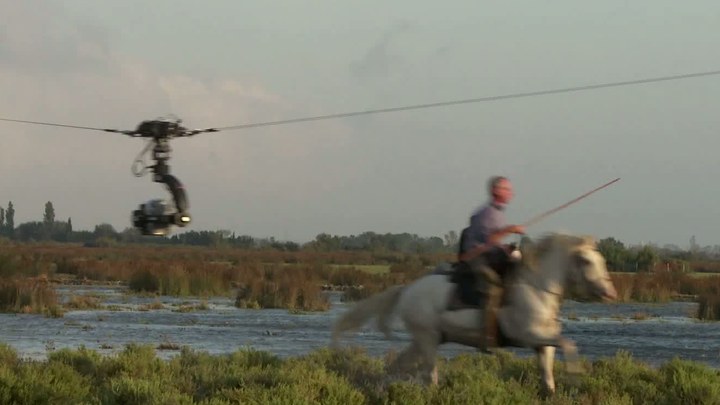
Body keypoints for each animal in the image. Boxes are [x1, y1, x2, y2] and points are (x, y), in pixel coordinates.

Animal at [332, 232, 620, 392]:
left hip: (427, 339)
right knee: (429, 377)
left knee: (396, 367)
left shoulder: (542, 344)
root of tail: (407, 289)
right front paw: (577, 376)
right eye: (585, 261)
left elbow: (549, 377)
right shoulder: (528, 336)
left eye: (602, 260)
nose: (610, 293)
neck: (536, 288)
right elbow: (569, 344)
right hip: (427, 340)